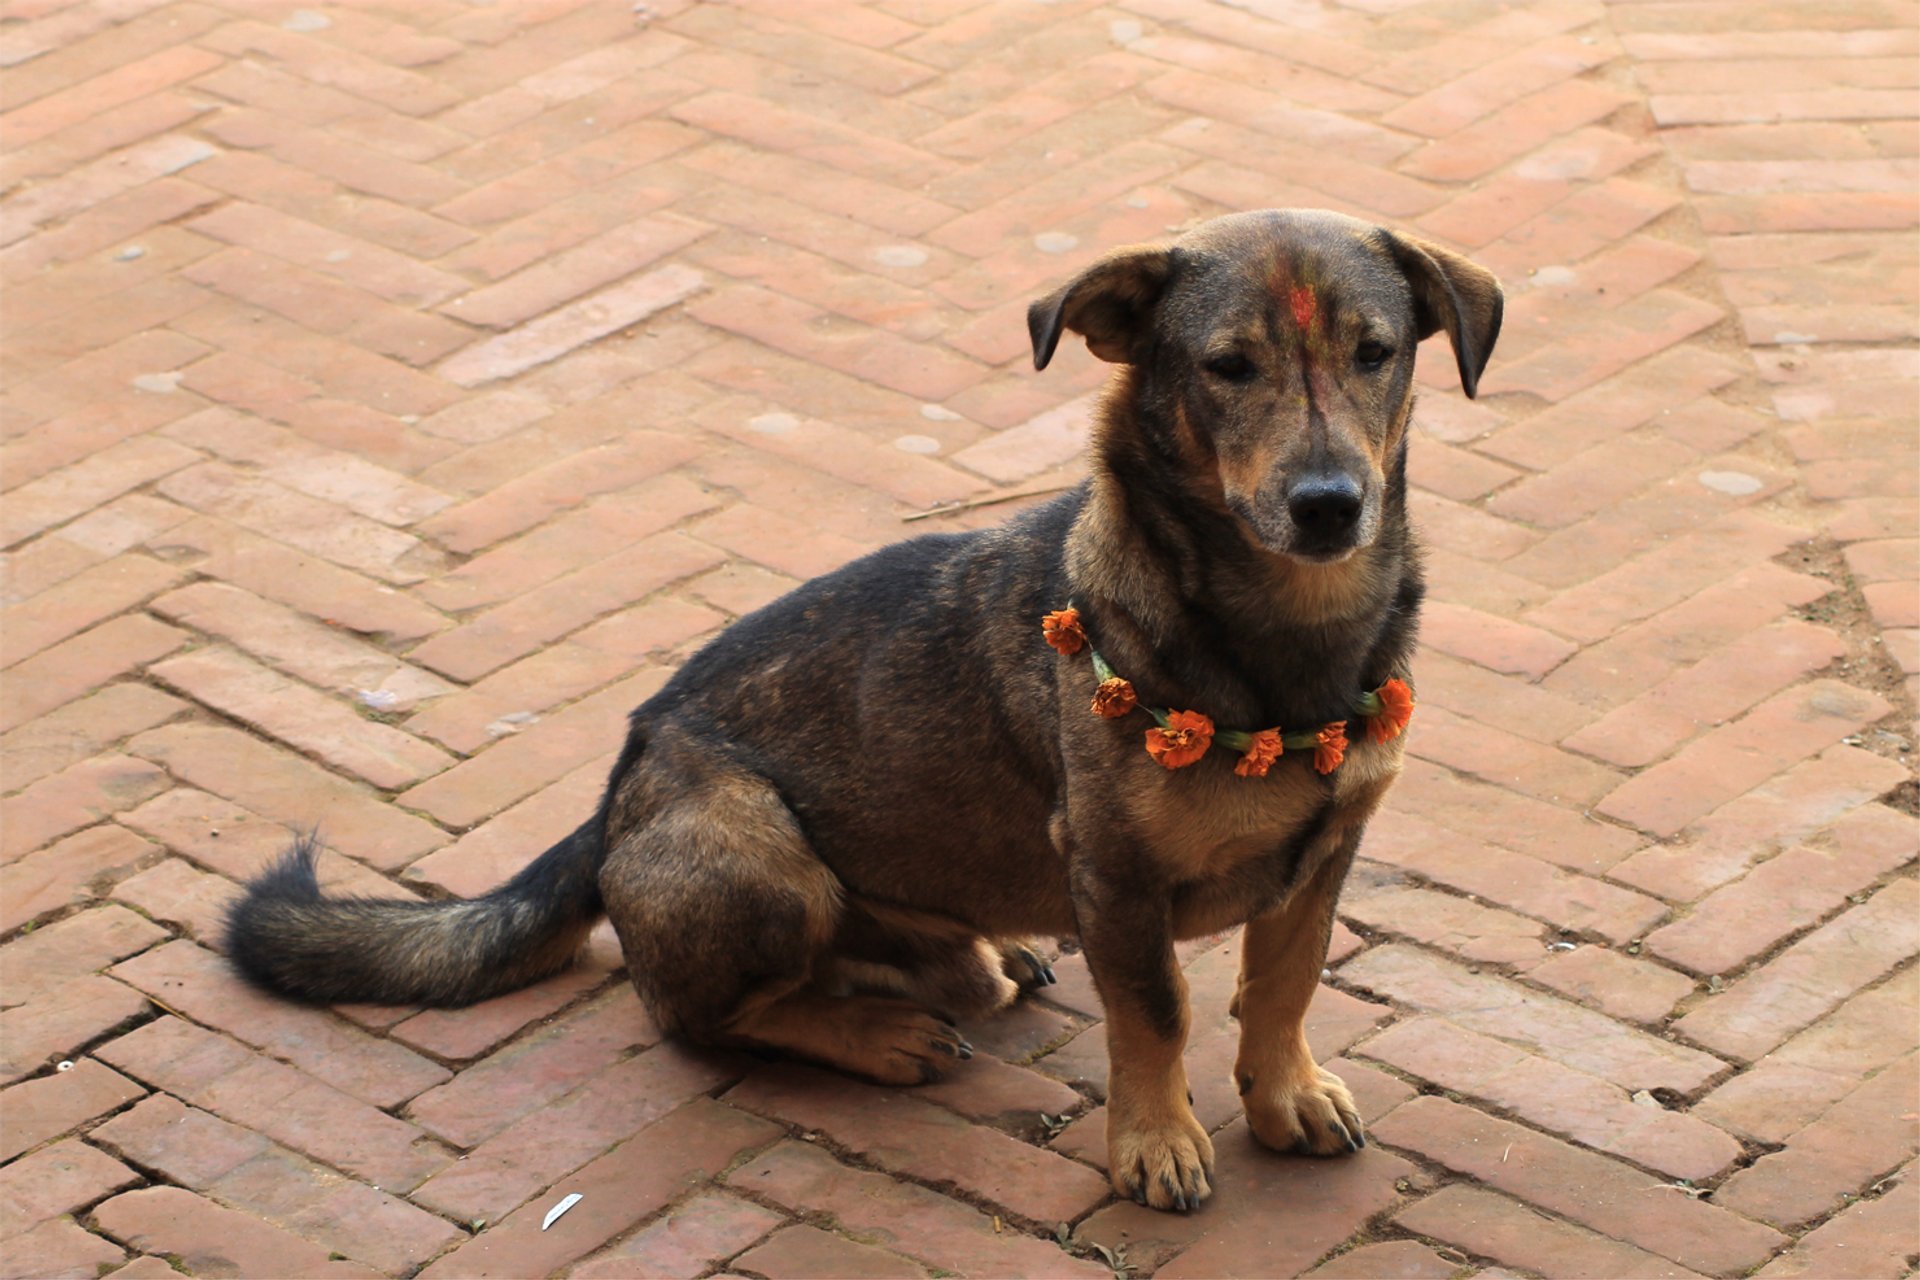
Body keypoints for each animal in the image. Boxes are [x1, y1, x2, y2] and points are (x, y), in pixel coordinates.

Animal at [232, 208, 1505, 1212]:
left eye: (1376, 352)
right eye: (1226, 366)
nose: (1331, 504)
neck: (1284, 637)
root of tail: (616, 788)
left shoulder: (1326, 851)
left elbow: (1280, 987)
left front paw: (1283, 1096)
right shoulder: (1117, 878)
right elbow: (1158, 1014)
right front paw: (1156, 1142)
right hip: (756, 855)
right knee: (695, 1012)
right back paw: (876, 1032)